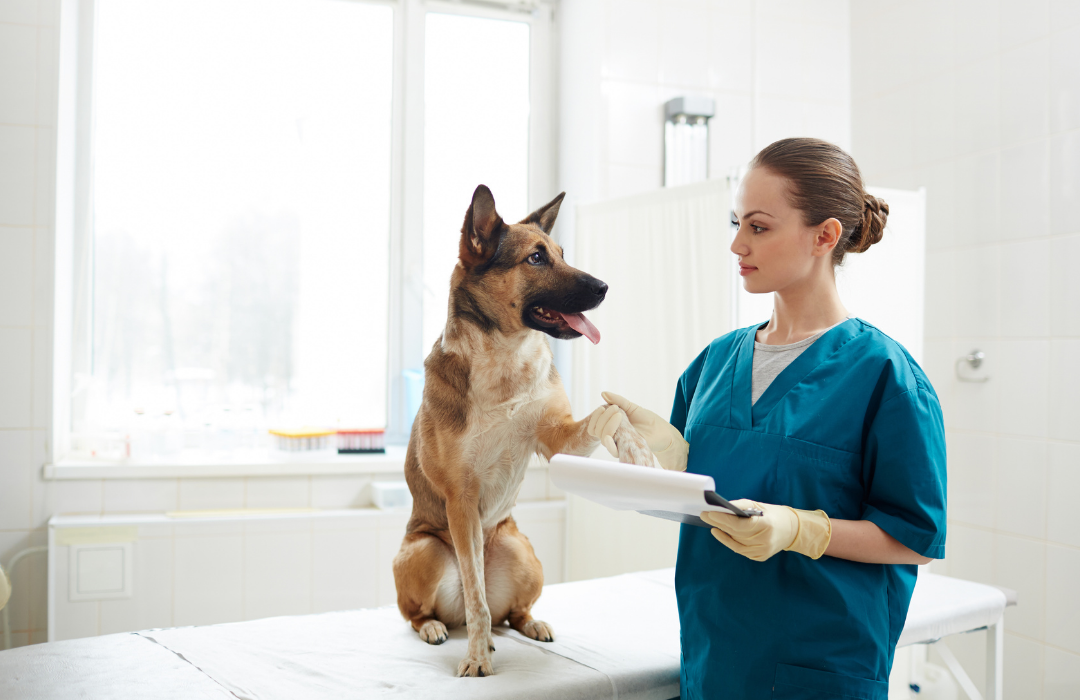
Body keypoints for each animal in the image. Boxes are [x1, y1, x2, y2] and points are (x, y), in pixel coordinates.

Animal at [393, 183, 652, 674]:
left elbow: (611, 413)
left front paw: (636, 447)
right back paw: (437, 628)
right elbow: (476, 597)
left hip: (521, 552)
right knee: (434, 610)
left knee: (510, 613)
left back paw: (532, 624)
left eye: (562, 253)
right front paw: (477, 659)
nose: (604, 287)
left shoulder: (556, 440)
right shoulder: (461, 498)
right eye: (535, 258)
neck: (505, 357)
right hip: (424, 551)